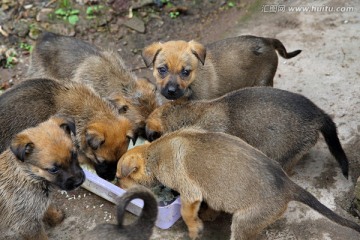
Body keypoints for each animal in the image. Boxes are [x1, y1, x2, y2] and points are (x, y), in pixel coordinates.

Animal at [116, 129, 360, 240]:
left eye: (119, 177)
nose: (117, 187)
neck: (153, 153)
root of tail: (288, 185)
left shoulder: (190, 192)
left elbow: (186, 213)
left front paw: (194, 230)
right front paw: (208, 215)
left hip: (244, 223)